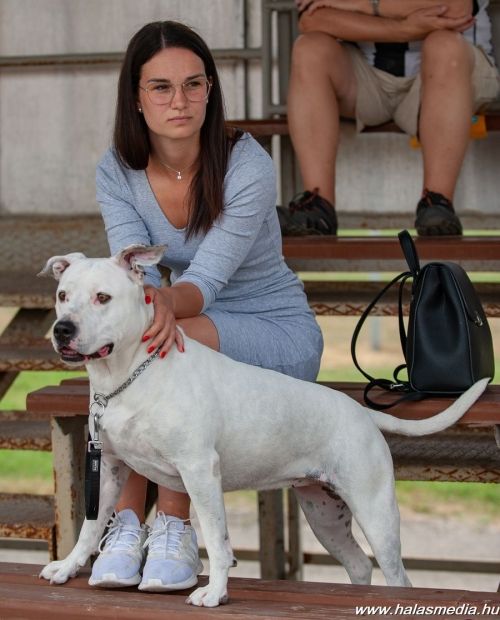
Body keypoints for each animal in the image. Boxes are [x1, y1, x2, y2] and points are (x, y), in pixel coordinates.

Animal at [38, 245, 488, 607]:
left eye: (103, 297)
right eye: (63, 296)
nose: (63, 329)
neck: (128, 375)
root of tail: (362, 412)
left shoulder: (200, 471)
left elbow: (217, 541)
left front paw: (215, 593)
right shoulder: (109, 468)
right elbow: (89, 528)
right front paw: (67, 567)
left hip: (375, 512)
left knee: (398, 575)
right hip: (324, 514)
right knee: (361, 565)